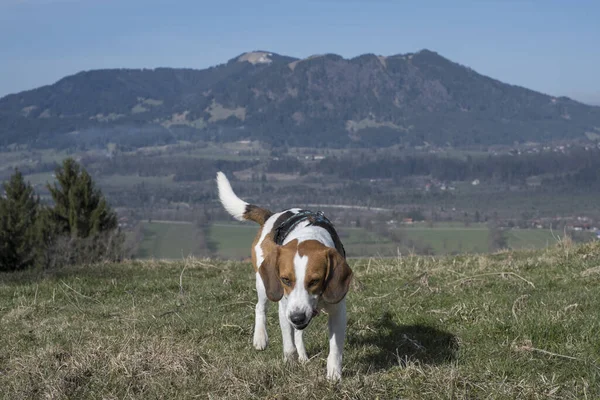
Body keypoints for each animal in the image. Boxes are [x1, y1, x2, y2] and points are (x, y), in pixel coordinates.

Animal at [218, 172, 354, 382]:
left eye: (315, 281)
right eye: (285, 280)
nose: (297, 317)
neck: (307, 234)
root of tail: (270, 216)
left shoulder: (337, 311)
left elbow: (335, 349)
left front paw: (334, 375)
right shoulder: (285, 306)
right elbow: (288, 344)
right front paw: (289, 364)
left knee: (298, 332)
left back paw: (303, 355)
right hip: (264, 285)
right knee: (260, 307)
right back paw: (260, 338)